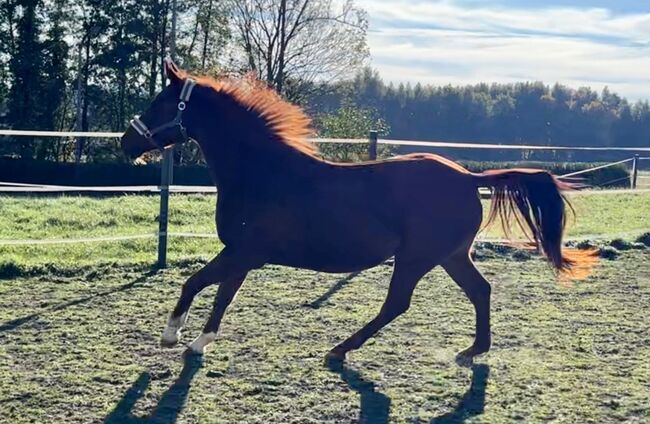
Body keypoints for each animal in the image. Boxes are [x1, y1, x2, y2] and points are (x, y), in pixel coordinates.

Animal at [121, 61, 592, 362]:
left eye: (161, 103)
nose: (127, 143)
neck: (263, 172)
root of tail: (466, 177)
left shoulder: (245, 252)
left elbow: (195, 283)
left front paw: (171, 335)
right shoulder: (241, 254)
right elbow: (221, 295)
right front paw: (200, 342)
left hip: (417, 258)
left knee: (398, 303)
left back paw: (340, 349)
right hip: (452, 256)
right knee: (481, 291)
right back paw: (474, 350)